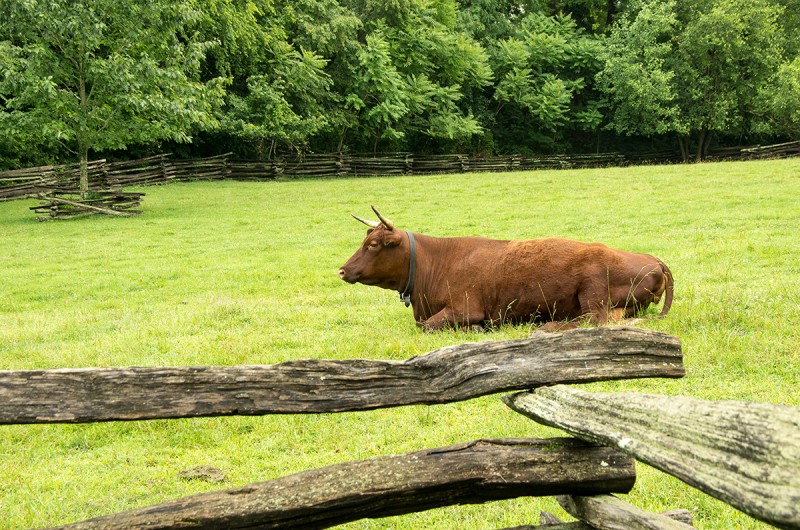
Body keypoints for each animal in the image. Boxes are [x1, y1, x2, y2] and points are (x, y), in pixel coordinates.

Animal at [334, 206, 672, 330]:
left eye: (373, 244)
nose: (342, 270)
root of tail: (653, 258)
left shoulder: (465, 308)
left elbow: (427, 326)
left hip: (593, 289)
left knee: (595, 320)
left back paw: (547, 327)